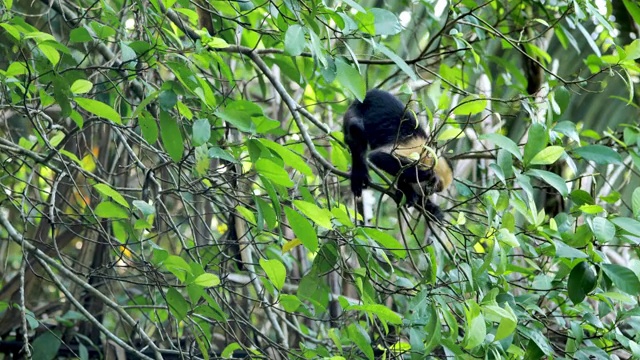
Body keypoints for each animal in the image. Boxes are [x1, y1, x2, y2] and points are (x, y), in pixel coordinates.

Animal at [342, 89, 452, 219]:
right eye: (435, 186)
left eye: (436, 190)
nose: (429, 193)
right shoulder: (416, 150)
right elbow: (378, 157)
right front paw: (428, 175)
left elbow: (403, 176)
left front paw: (430, 207)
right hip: (354, 110)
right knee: (357, 128)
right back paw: (359, 176)